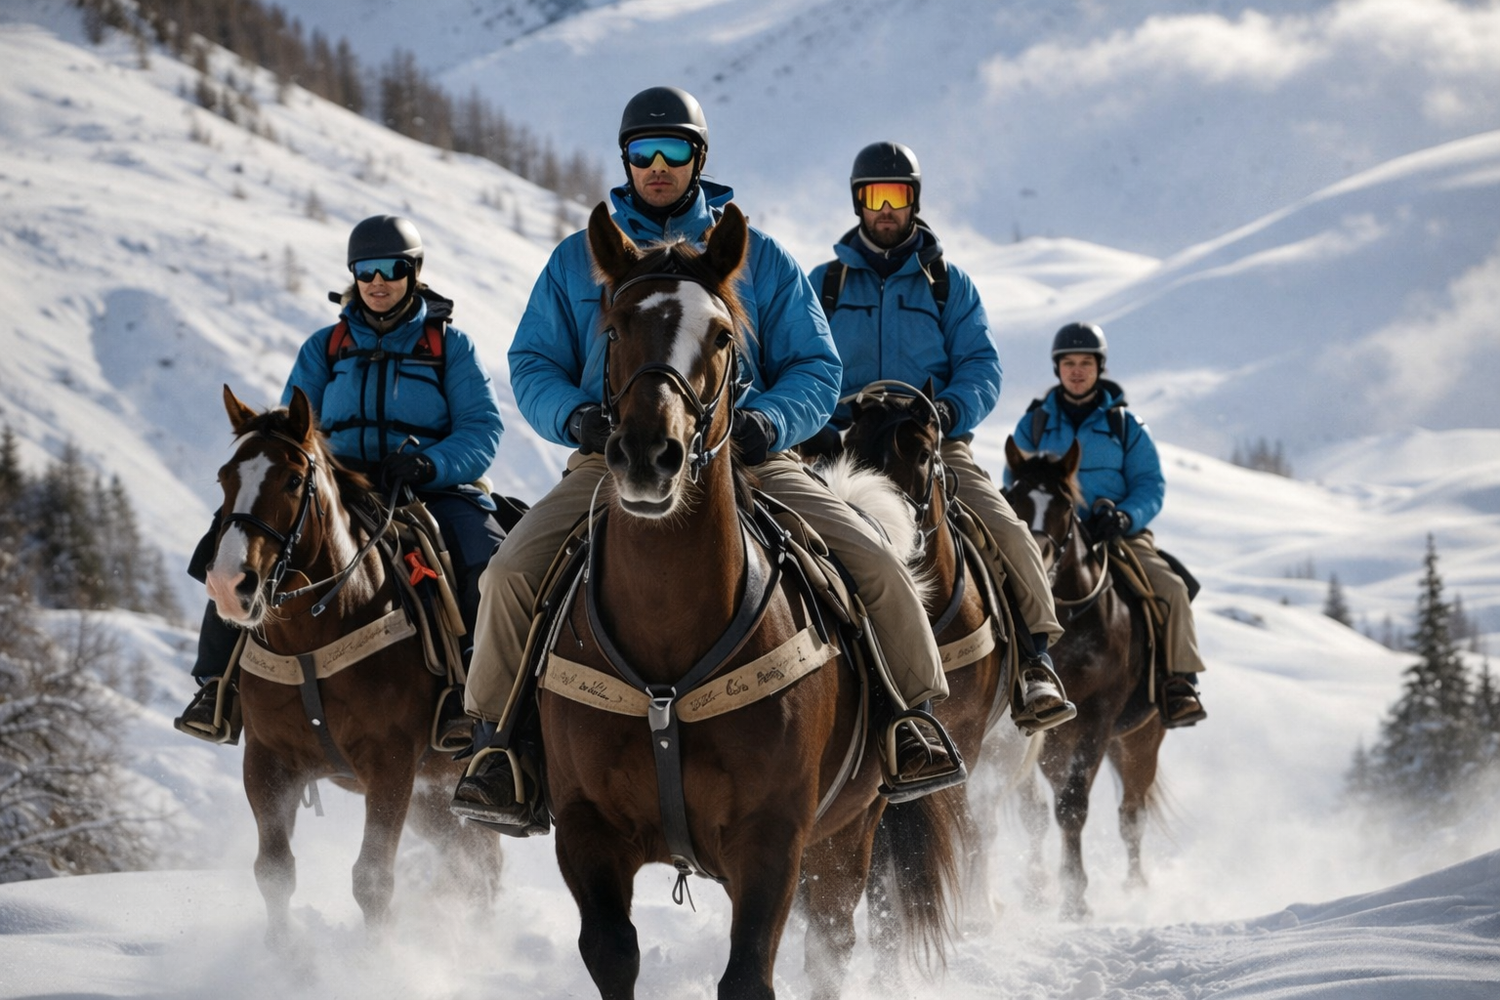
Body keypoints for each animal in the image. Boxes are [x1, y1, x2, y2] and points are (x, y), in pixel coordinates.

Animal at [206, 387, 500, 944]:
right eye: (225, 476)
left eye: (292, 479)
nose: (230, 585)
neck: (313, 639)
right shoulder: (267, 761)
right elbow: (273, 872)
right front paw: (284, 957)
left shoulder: (391, 764)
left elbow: (372, 880)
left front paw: (373, 959)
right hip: (437, 798)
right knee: (473, 867)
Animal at [838, 382, 1039, 949]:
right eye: (850, 448)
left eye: (926, 454)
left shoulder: (963, 735)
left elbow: (959, 825)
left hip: (1004, 748)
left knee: (983, 824)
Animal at [1001, 437, 1161, 921]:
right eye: (1012, 496)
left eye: (1066, 504)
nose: (1035, 557)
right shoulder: (1042, 731)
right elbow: (1038, 809)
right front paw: (1043, 889)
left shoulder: (1097, 717)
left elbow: (1073, 806)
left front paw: (1076, 897)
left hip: (1139, 738)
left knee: (1132, 813)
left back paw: (1136, 886)